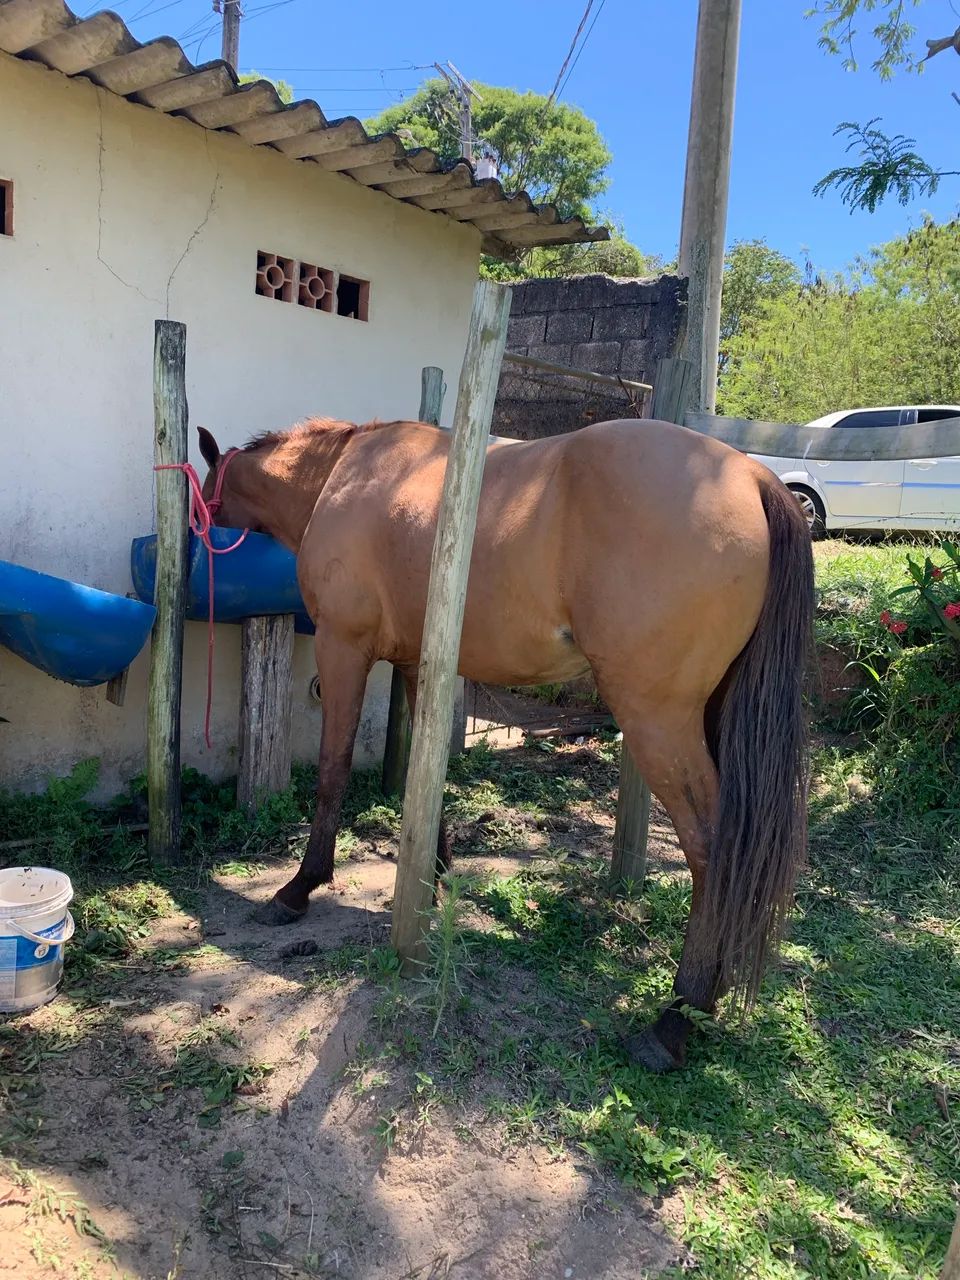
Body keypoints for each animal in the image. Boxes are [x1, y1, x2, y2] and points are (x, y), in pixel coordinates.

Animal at [197, 413, 814, 1072]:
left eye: (206, 489)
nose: (196, 533)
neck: (341, 474)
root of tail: (750, 475)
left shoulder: (343, 648)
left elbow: (332, 768)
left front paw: (300, 886)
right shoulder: (419, 662)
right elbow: (422, 769)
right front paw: (436, 873)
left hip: (659, 719)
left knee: (713, 847)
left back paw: (675, 1017)